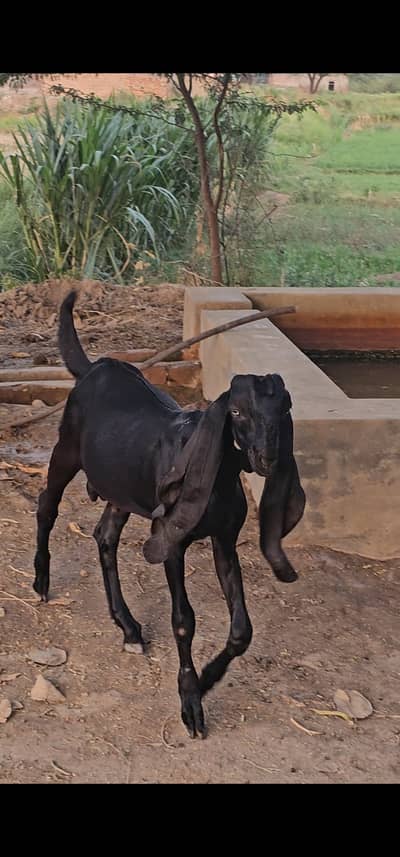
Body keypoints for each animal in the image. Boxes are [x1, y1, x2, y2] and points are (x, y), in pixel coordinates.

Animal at [33, 291, 306, 738]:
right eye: (236, 412)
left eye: (284, 409)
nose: (267, 457)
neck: (217, 476)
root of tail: (95, 367)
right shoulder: (171, 539)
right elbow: (183, 619)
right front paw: (191, 701)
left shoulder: (224, 539)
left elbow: (242, 629)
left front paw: (209, 678)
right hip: (67, 448)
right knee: (46, 505)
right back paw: (41, 581)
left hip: (121, 486)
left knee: (105, 535)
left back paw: (128, 626)